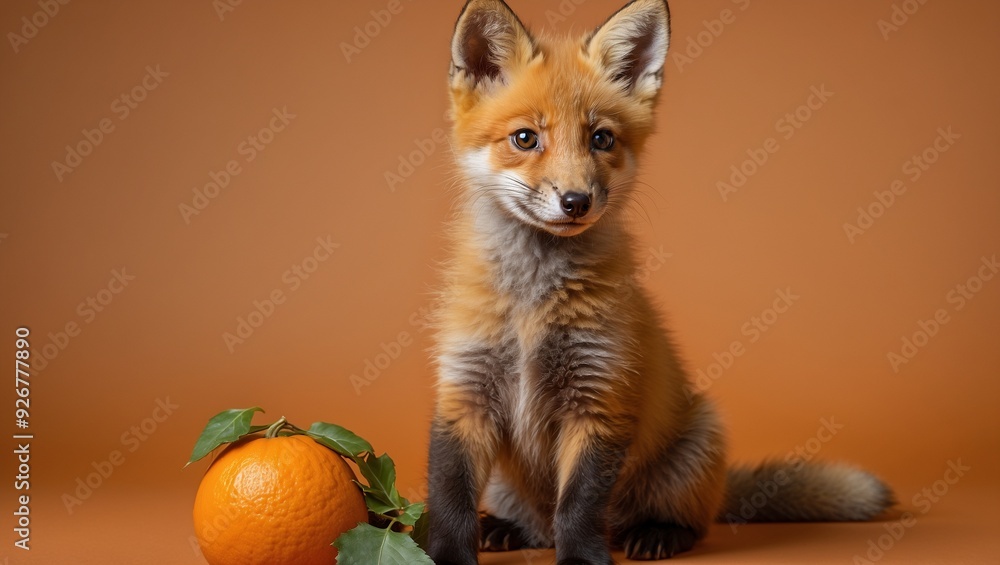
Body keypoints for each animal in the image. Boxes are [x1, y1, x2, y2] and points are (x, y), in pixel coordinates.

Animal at [426, 0, 895, 563]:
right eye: (525, 138)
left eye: (601, 138)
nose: (576, 201)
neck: (533, 304)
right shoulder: (465, 392)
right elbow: (450, 496)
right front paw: (448, 554)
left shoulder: (600, 398)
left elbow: (579, 504)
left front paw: (581, 558)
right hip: (507, 483)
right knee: (537, 524)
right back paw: (506, 528)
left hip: (696, 443)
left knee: (677, 521)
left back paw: (657, 533)